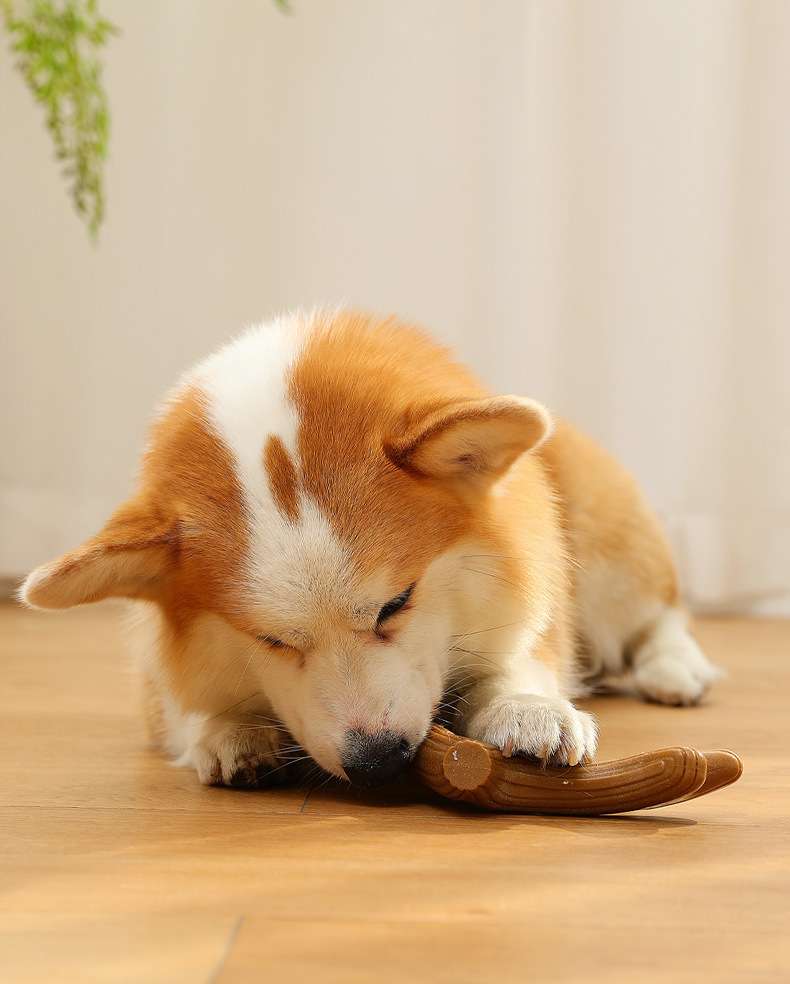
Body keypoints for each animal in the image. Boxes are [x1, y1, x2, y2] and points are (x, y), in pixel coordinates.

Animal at [20, 312, 724, 788]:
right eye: (272, 640)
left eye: (396, 603)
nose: (379, 762)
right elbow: (185, 703)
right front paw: (227, 731)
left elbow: (520, 660)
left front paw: (527, 710)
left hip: (612, 557)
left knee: (660, 616)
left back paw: (674, 671)